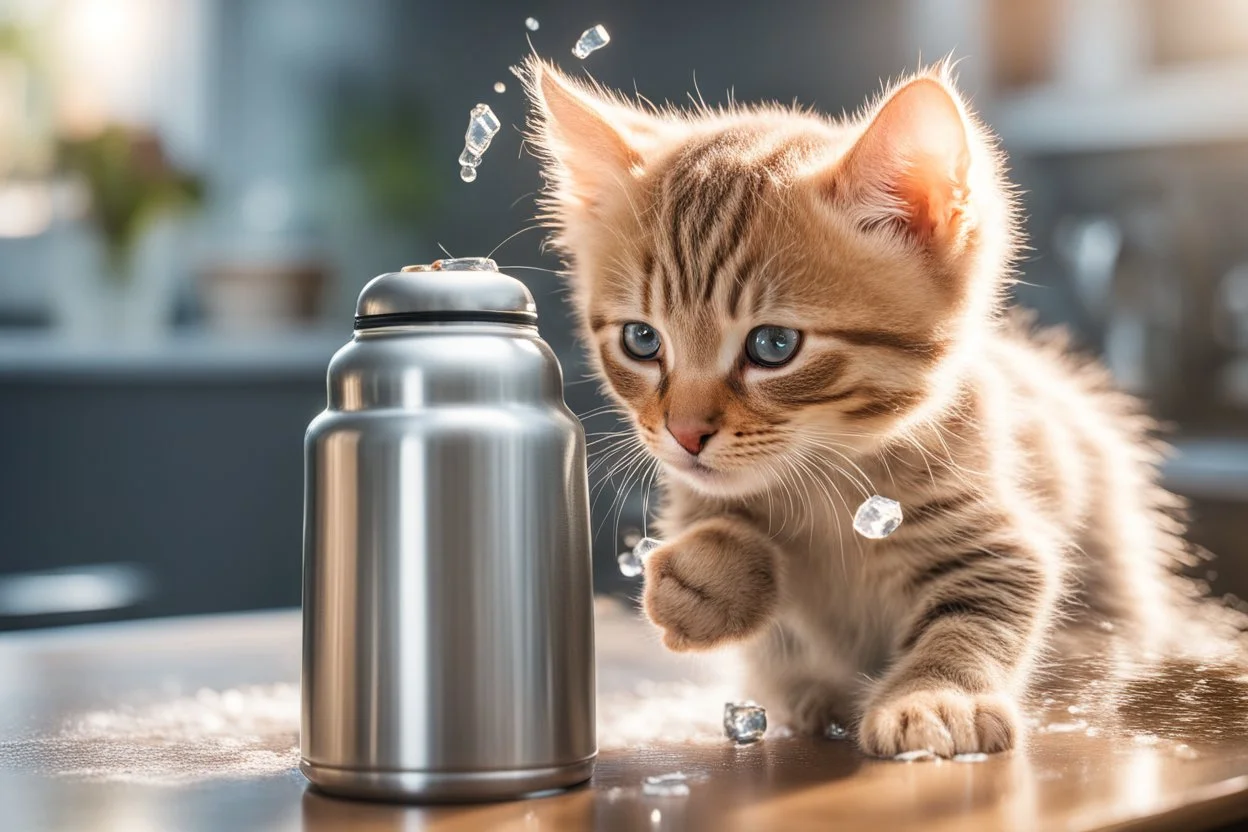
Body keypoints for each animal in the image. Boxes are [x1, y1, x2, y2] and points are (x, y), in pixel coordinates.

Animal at [524, 60, 1208, 763]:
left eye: (774, 346)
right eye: (642, 340)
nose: (685, 433)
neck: (827, 481)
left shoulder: (998, 537)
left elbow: (979, 612)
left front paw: (938, 697)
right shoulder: (701, 499)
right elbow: (738, 548)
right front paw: (708, 577)